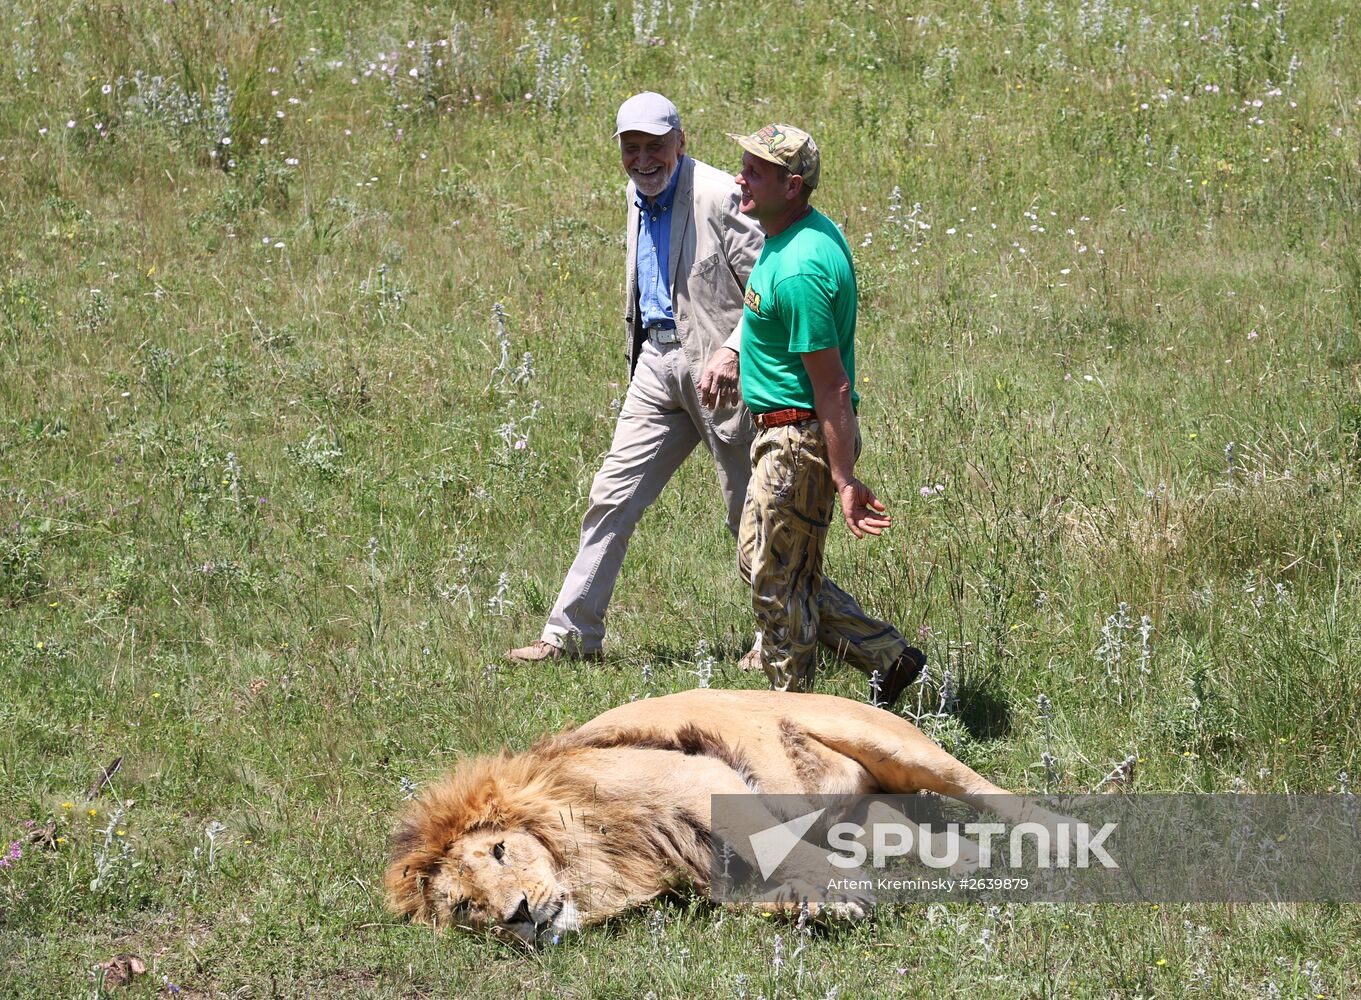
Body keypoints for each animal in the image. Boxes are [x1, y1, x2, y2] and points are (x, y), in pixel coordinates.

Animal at [389, 691, 1045, 941]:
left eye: (500, 850)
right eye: (465, 906)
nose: (520, 914)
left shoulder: (703, 779)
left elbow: (773, 843)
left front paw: (845, 890)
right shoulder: (710, 875)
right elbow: (757, 899)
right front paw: (819, 908)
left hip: (894, 746)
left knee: (999, 796)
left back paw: (1060, 838)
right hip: (862, 815)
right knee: (928, 838)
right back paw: (971, 867)